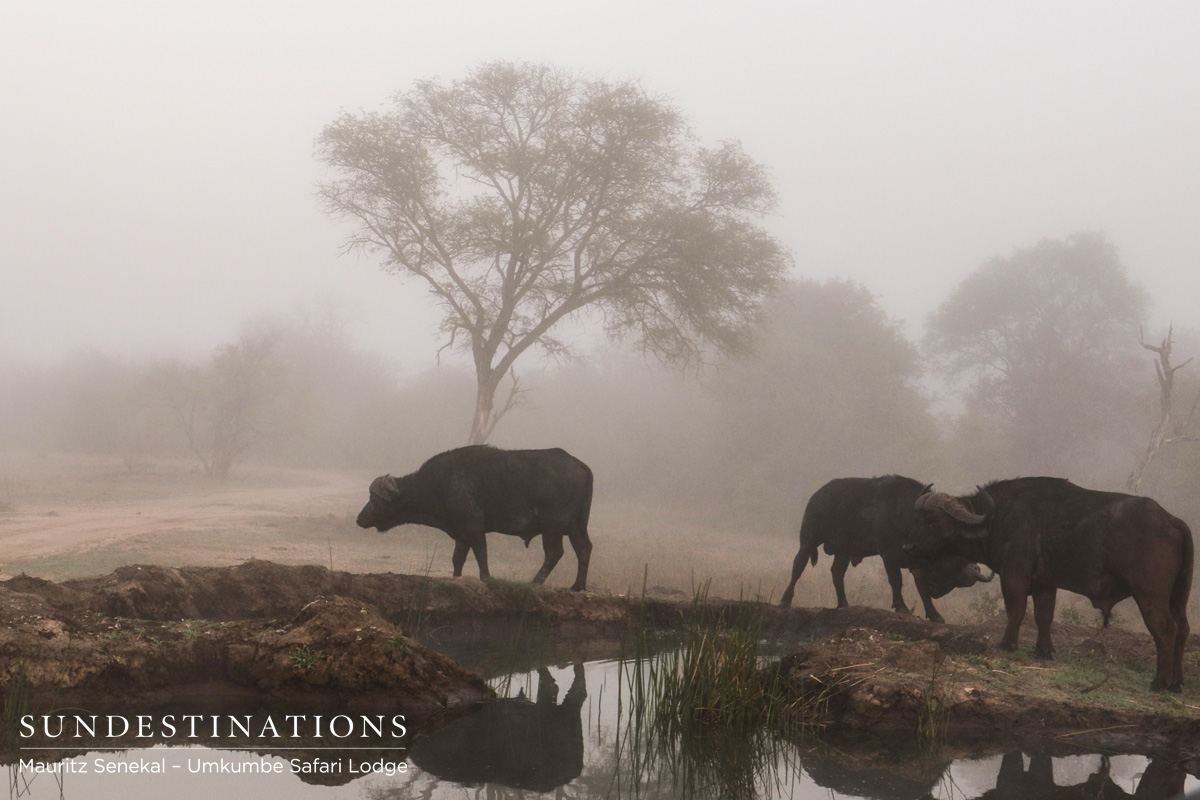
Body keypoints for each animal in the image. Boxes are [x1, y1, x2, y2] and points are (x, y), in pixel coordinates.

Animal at [356, 446, 593, 591]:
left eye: (374, 498)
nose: (359, 519)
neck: (439, 483)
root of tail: (581, 466)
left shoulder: (474, 526)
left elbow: (481, 553)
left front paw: (486, 578)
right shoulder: (461, 533)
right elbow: (457, 559)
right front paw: (456, 578)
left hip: (552, 526)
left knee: (554, 552)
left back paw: (534, 583)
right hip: (577, 526)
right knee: (584, 549)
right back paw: (577, 586)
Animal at [779, 475, 993, 622]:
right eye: (955, 569)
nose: (937, 592)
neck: (909, 518)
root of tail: (817, 495)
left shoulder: (916, 562)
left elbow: (921, 588)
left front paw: (934, 614)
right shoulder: (889, 555)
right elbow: (896, 581)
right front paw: (902, 607)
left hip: (843, 551)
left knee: (837, 572)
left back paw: (844, 604)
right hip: (808, 539)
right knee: (798, 566)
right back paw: (785, 600)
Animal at [908, 478, 1193, 691]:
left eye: (933, 522)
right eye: (917, 520)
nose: (908, 547)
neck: (997, 517)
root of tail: (1173, 521)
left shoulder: (1013, 576)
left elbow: (1016, 610)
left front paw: (1006, 644)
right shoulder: (1045, 584)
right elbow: (1044, 615)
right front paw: (1043, 651)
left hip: (1150, 595)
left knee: (1165, 629)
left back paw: (1159, 682)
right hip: (1178, 598)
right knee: (1183, 629)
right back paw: (1176, 682)